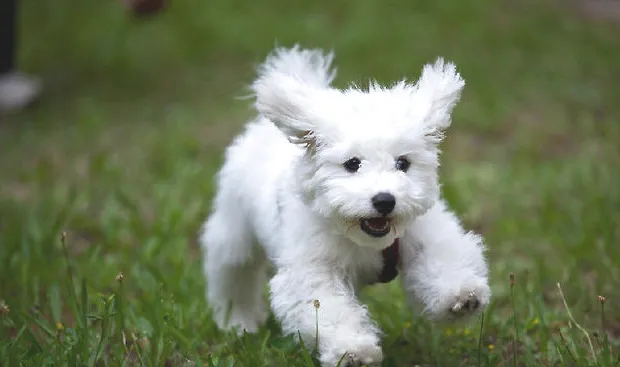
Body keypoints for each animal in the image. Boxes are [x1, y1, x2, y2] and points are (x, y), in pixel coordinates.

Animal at [201, 46, 492, 367]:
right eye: (352, 164)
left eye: (402, 163)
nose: (384, 199)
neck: (363, 239)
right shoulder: (312, 270)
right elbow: (328, 310)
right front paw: (353, 350)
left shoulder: (424, 234)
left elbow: (443, 258)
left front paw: (461, 295)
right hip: (234, 230)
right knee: (232, 273)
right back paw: (237, 322)